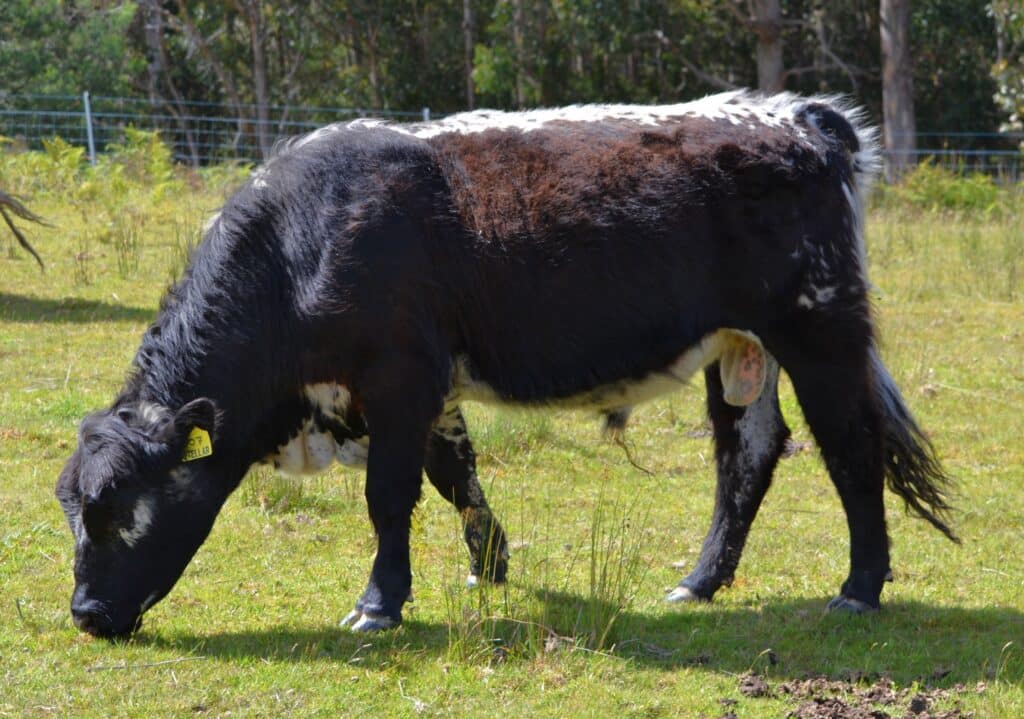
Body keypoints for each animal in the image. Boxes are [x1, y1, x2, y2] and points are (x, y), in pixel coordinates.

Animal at [55, 90, 957, 638]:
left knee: (850, 447)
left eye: (119, 508)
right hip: (740, 350)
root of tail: (797, 112)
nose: (86, 611)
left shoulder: (399, 374)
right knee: (747, 457)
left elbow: (389, 497)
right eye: (73, 507)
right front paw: (490, 566)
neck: (299, 243)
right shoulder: (431, 384)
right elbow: (456, 474)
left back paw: (860, 586)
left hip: (820, 329)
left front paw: (379, 603)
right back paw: (699, 581)